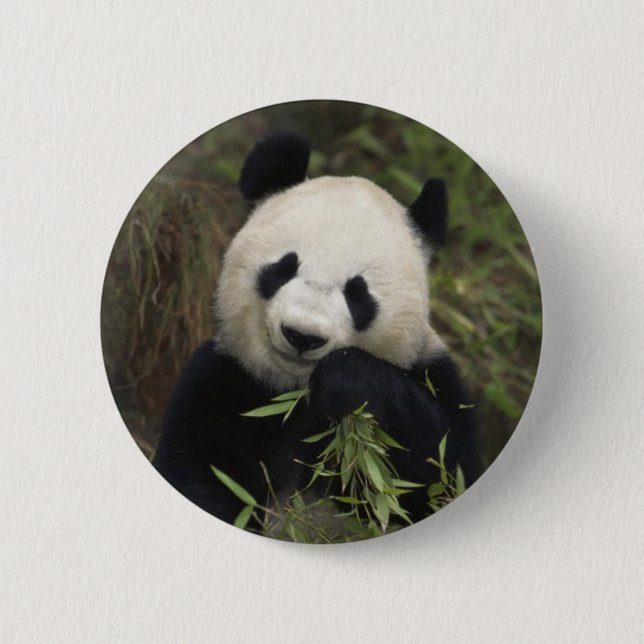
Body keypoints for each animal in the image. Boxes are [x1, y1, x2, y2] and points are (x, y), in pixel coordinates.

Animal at [153, 132, 481, 529]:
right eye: (284, 268)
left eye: (357, 293)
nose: (302, 335)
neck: (294, 395)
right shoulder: (226, 382)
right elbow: (199, 475)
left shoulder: (431, 373)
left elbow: (443, 471)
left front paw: (347, 380)